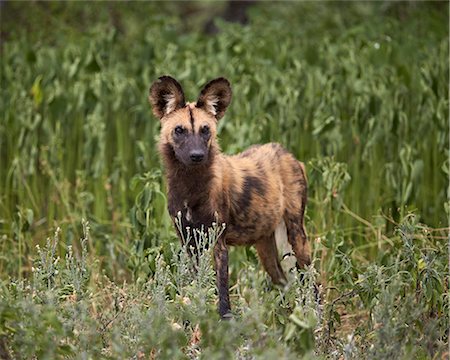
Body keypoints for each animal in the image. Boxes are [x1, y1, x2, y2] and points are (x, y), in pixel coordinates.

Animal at [148, 76, 310, 318]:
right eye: (179, 130)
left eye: (205, 130)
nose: (197, 155)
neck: (190, 187)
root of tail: (288, 154)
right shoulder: (190, 244)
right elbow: (198, 287)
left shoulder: (218, 244)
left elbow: (222, 294)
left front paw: (225, 321)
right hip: (265, 246)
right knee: (283, 282)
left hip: (296, 235)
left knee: (311, 282)